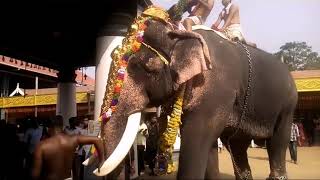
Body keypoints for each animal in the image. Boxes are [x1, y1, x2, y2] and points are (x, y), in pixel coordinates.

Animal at [87, 6, 298, 179]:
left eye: (147, 68)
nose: (97, 168)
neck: (179, 33)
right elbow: (208, 147)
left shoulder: (216, 89)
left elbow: (197, 138)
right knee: (238, 146)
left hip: (288, 105)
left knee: (278, 140)